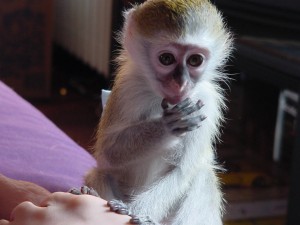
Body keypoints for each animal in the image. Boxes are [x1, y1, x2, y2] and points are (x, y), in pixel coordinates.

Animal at [71, 0, 233, 225]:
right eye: (166, 58)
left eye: (194, 60)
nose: (180, 83)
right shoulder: (127, 89)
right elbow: (107, 152)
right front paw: (167, 126)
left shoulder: (208, 101)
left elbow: (182, 171)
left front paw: (135, 212)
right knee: (101, 173)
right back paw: (91, 194)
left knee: (202, 176)